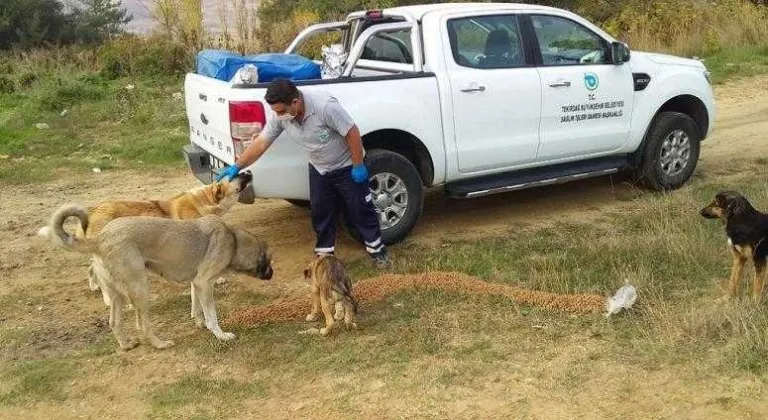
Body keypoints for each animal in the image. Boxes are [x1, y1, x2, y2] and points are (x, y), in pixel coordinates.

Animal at [39, 203, 274, 352]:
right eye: (269, 261)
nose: (273, 274)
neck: (233, 240)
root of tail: (100, 238)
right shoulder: (204, 283)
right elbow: (212, 315)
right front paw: (220, 334)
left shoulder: (197, 283)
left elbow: (196, 307)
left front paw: (200, 323)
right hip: (141, 290)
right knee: (142, 326)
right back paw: (160, 344)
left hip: (118, 295)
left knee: (114, 322)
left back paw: (125, 345)